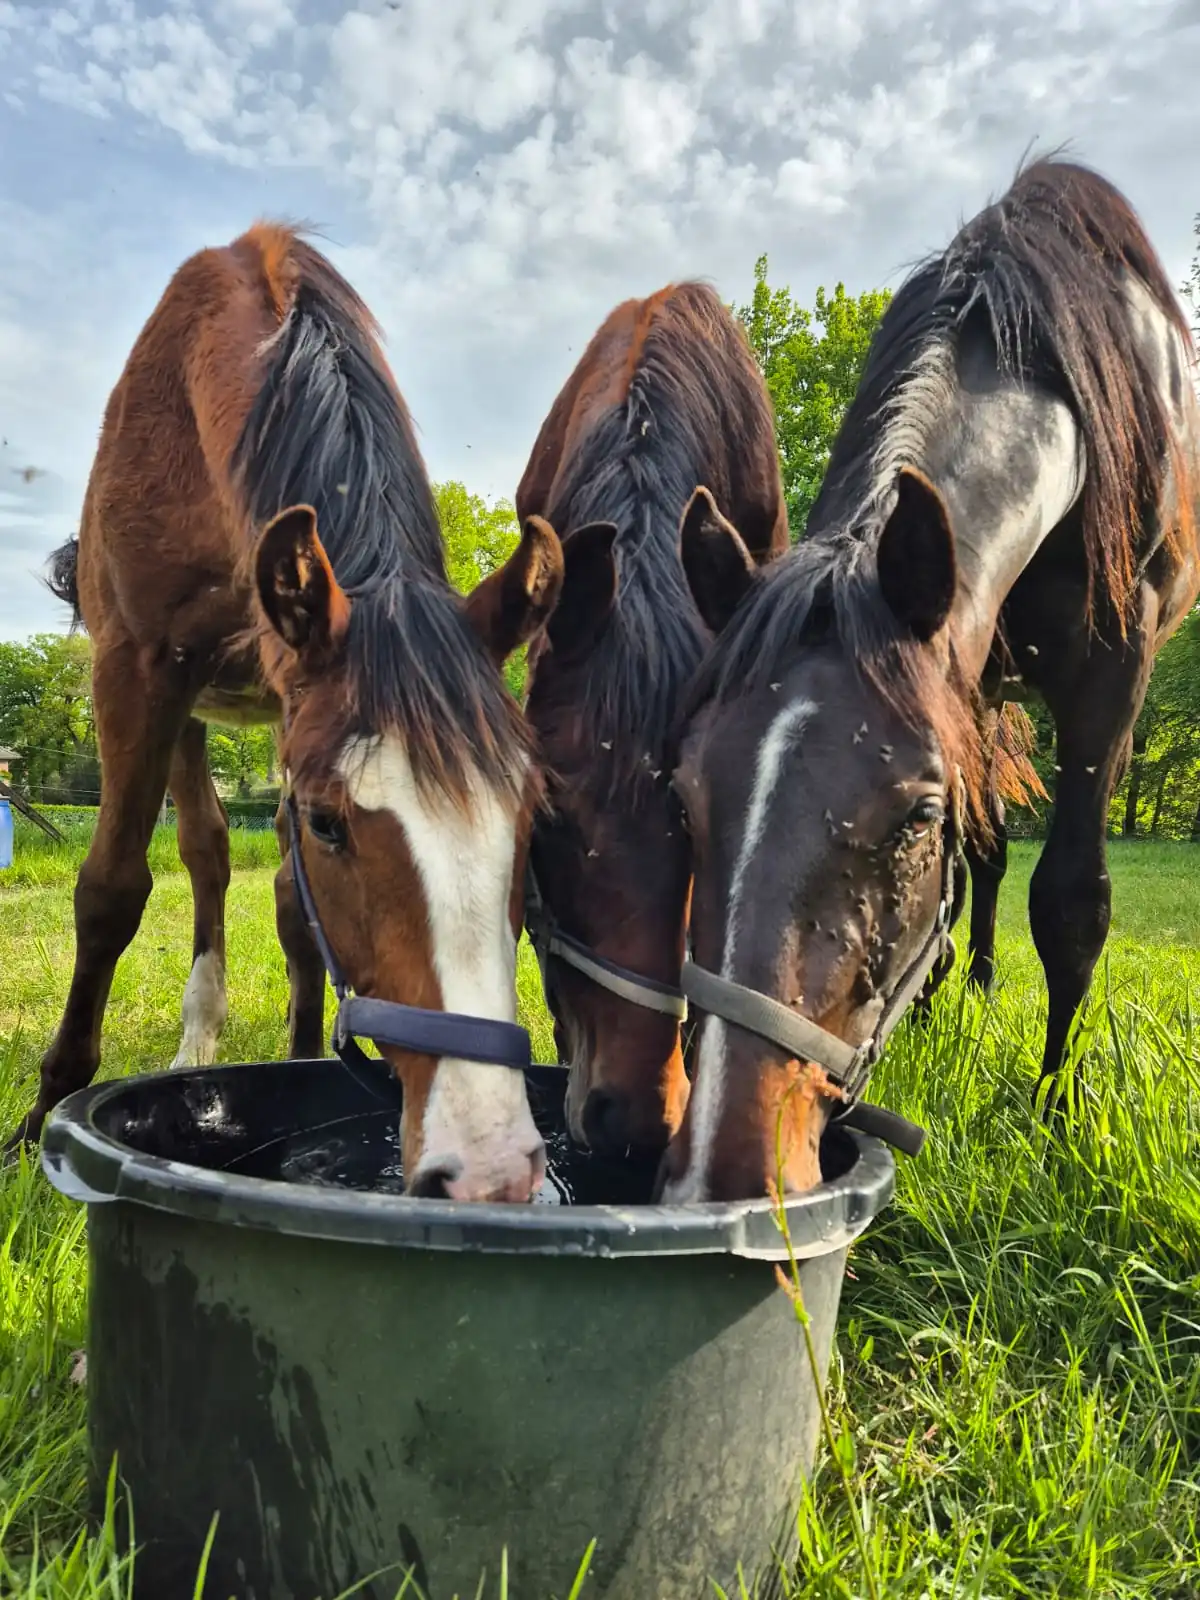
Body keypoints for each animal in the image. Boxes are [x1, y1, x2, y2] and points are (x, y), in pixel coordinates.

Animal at [24, 223, 564, 1204]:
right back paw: (196, 1034)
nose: (490, 1171)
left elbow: (291, 901)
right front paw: (42, 1117)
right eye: (330, 823)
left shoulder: (293, 694)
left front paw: (303, 1055)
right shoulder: (136, 668)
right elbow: (112, 889)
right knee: (202, 851)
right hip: (182, 709)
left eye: (530, 814)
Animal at [661, 158, 1199, 1202]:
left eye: (914, 816)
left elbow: (1070, 902)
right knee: (986, 854)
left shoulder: (1116, 672)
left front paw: (1053, 1115)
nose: (720, 1171)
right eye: (686, 799)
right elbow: (981, 857)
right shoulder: (961, 672)